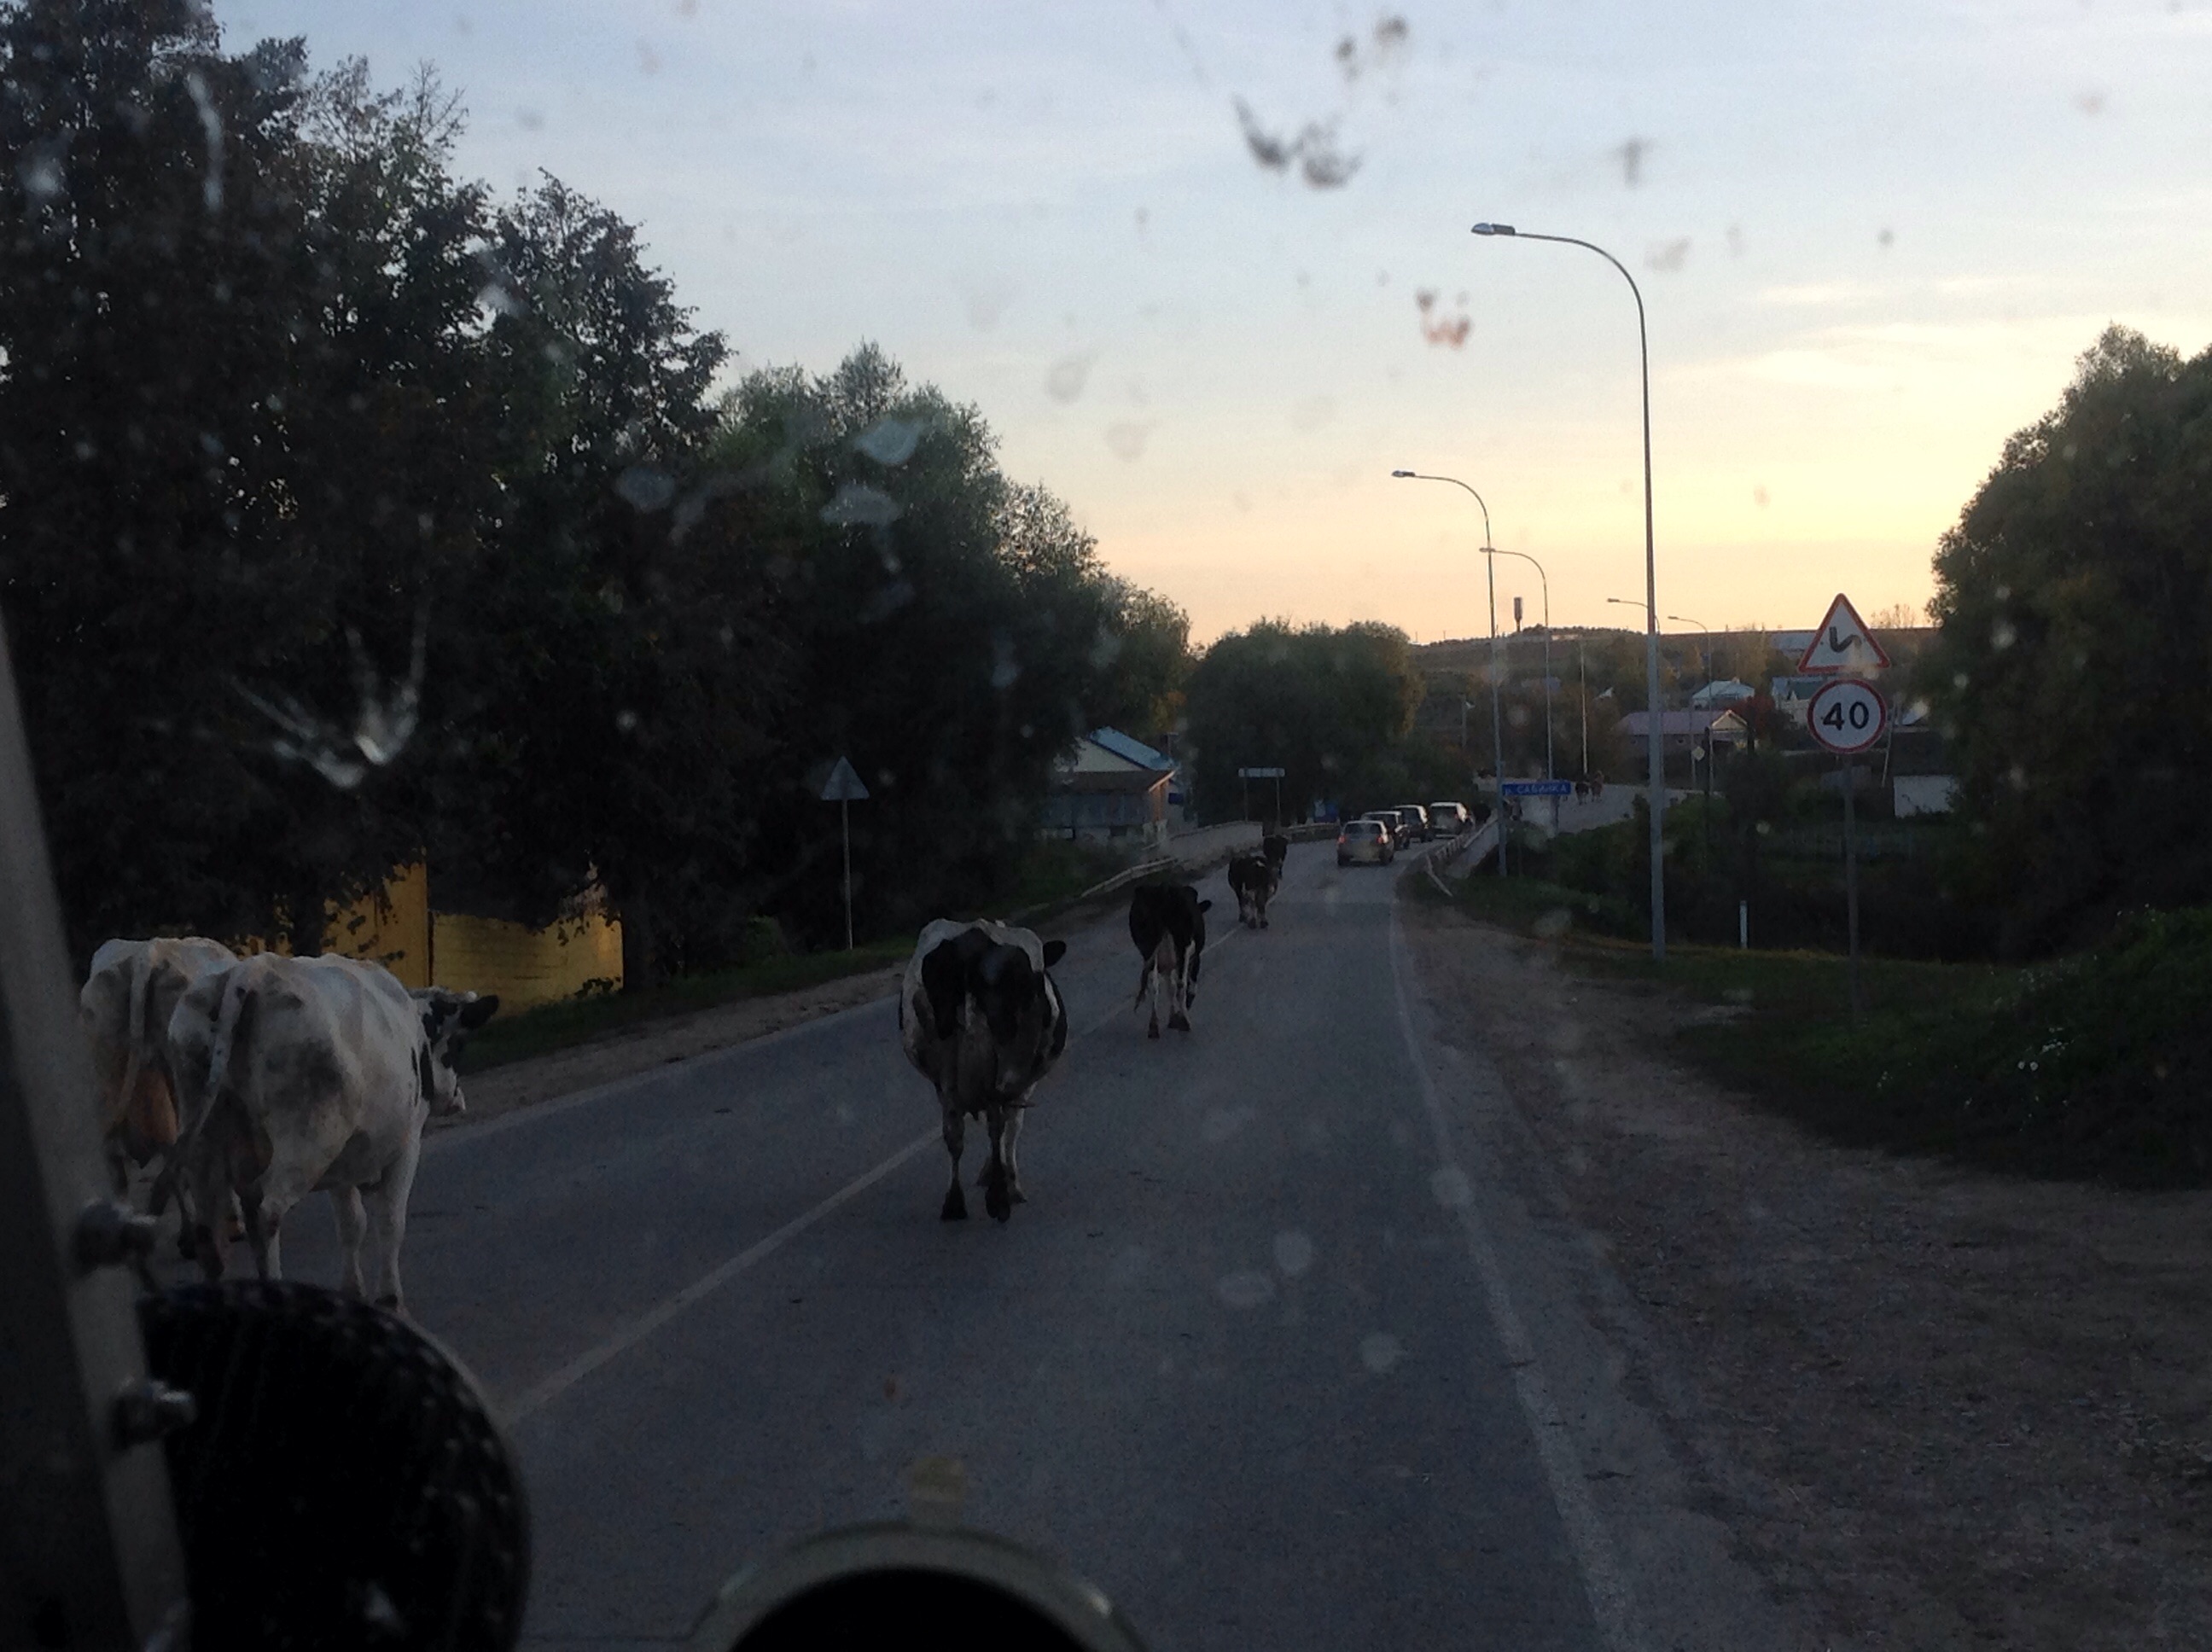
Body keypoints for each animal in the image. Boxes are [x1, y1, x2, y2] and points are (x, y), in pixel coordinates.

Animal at [167, 952, 496, 1314]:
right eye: (458, 1045)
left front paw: (353, 1291)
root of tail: (251, 971)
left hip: (203, 1141)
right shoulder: (405, 1146)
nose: (457, 1100)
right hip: (308, 1141)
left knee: (208, 1227)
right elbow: (390, 1222)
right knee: (266, 1213)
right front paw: (391, 1300)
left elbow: (352, 1224)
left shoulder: (345, 1162)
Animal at [898, 919, 1069, 1223]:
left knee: (954, 1131)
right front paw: (1007, 1180)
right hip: (1003, 1066)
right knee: (996, 1122)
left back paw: (955, 1204)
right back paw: (1000, 1198)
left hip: (945, 1069)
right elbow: (1013, 1126)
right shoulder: (1023, 1083)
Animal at [1128, 882, 1208, 1038]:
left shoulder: (1166, 965)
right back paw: (1185, 1023)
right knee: (1181, 984)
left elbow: (1169, 987)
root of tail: (1162, 892)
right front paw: (1183, 1011)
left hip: (1148, 949)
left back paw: (1153, 1026)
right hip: (1182, 947)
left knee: (1154, 983)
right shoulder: (1195, 958)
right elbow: (1188, 985)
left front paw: (1172, 1018)